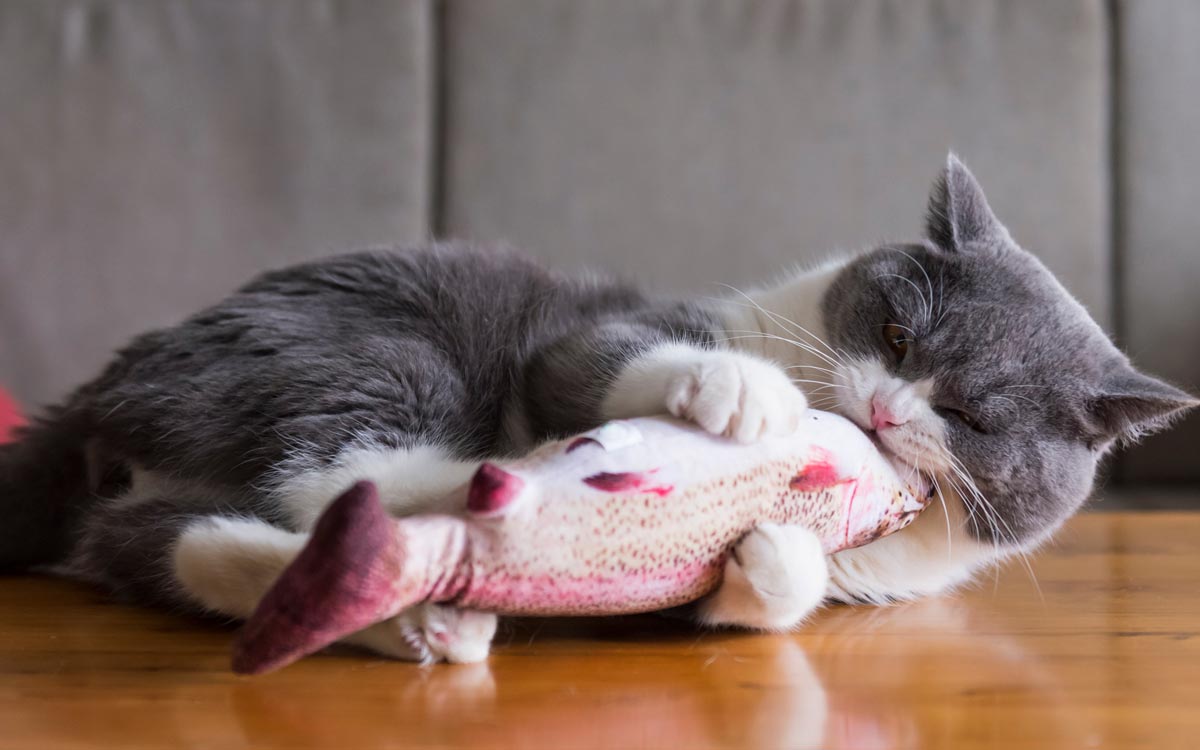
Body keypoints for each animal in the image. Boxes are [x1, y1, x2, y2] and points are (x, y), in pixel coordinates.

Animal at [0, 153, 1190, 662]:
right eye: (899, 335)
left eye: (978, 418)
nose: (891, 408)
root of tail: (107, 383)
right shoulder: (586, 337)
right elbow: (602, 356)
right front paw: (740, 393)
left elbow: (751, 599)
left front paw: (773, 554)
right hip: (369, 350)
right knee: (338, 470)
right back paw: (501, 499)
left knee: (178, 542)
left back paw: (421, 614)